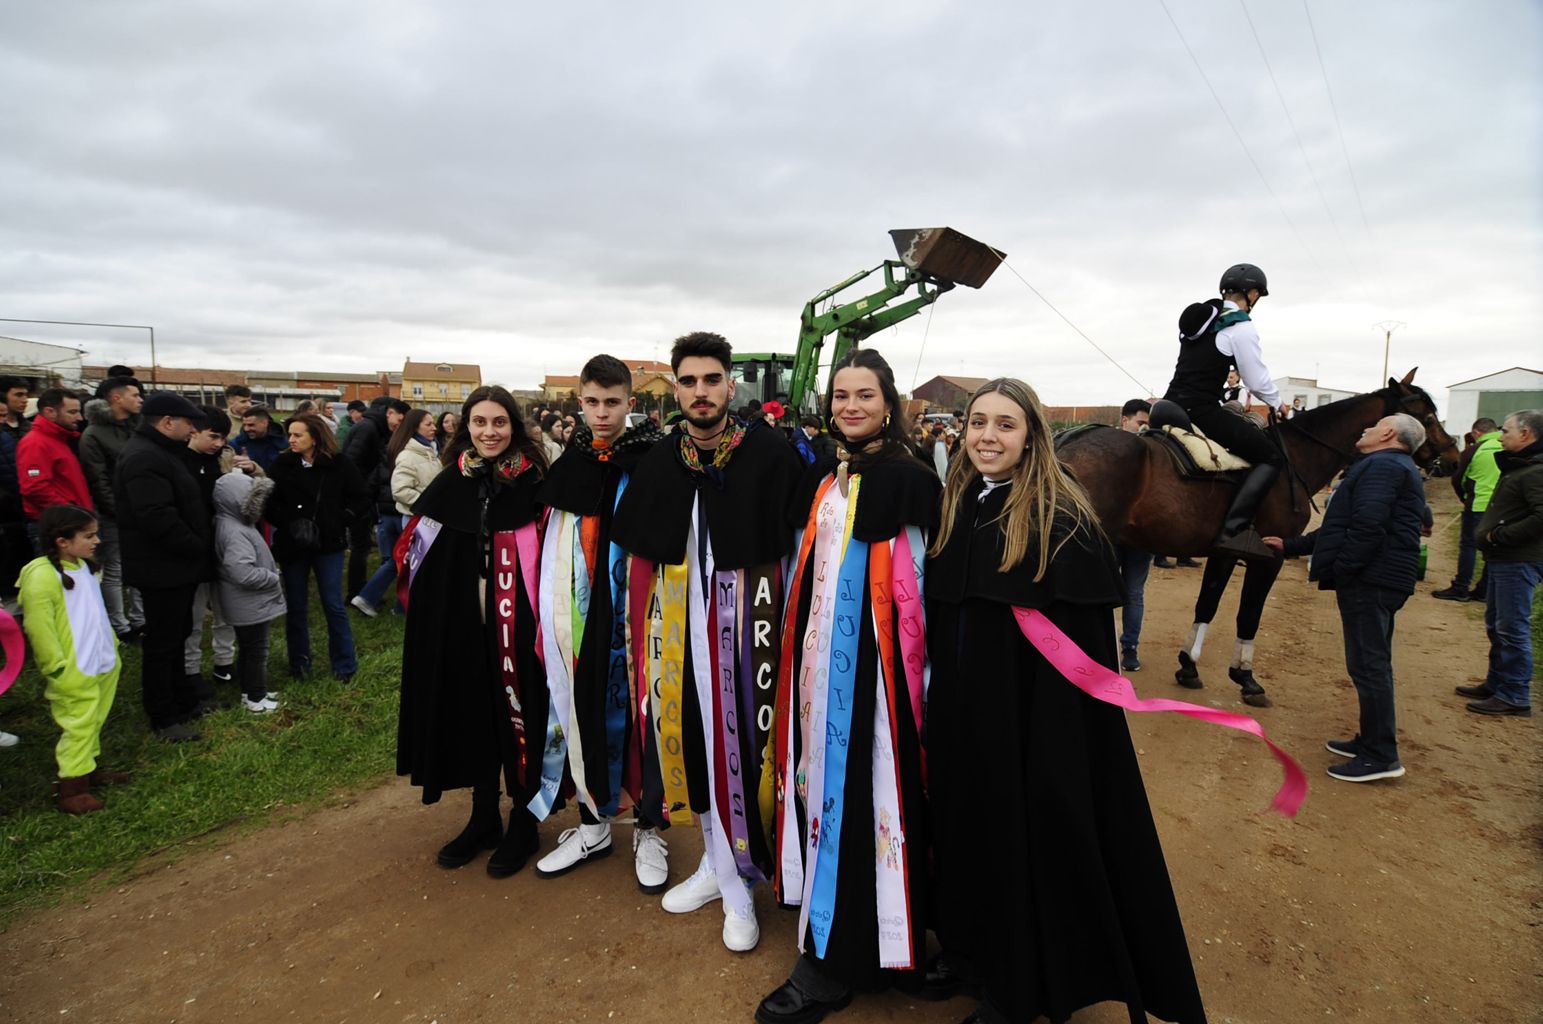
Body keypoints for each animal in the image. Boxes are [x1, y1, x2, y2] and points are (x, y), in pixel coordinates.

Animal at [1061, 371, 1456, 709]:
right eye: (1427, 415)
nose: (1451, 457)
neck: (1293, 458)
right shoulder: (1269, 557)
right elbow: (1248, 615)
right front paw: (1245, 677)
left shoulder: (1222, 554)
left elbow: (1207, 606)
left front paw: (1188, 665)